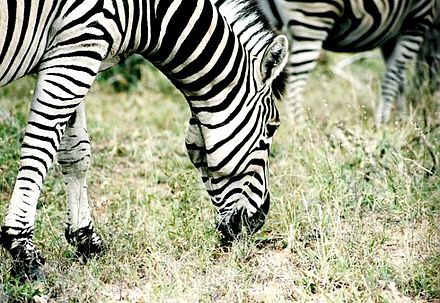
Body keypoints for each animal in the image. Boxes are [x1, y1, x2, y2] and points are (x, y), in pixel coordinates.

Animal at [0, 0, 288, 280]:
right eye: (272, 128)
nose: (259, 220)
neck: (148, 12)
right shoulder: (78, 47)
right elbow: (40, 149)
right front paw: (22, 251)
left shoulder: (73, 55)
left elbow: (76, 154)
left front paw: (86, 240)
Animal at [256, 0, 438, 124]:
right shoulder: (419, 19)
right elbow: (393, 76)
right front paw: (383, 123)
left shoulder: (393, 33)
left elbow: (400, 79)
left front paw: (402, 119)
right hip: (312, 19)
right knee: (294, 85)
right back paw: (299, 129)